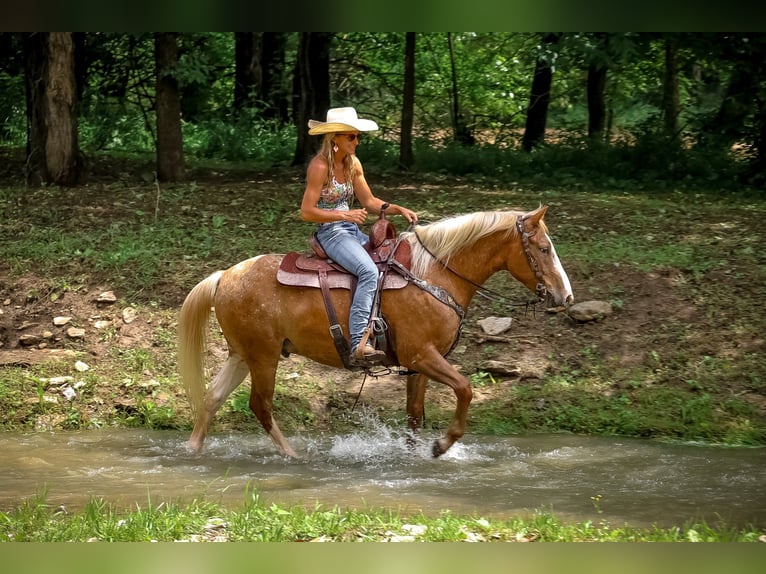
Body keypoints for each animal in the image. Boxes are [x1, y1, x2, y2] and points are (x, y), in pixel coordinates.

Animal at [177, 205, 573, 458]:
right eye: (544, 248)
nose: (565, 296)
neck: (433, 274)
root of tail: (223, 276)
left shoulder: (419, 365)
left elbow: (414, 414)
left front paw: (416, 454)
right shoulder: (421, 355)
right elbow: (465, 388)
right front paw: (442, 445)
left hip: (242, 354)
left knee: (212, 398)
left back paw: (193, 449)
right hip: (263, 356)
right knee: (259, 405)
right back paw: (293, 455)